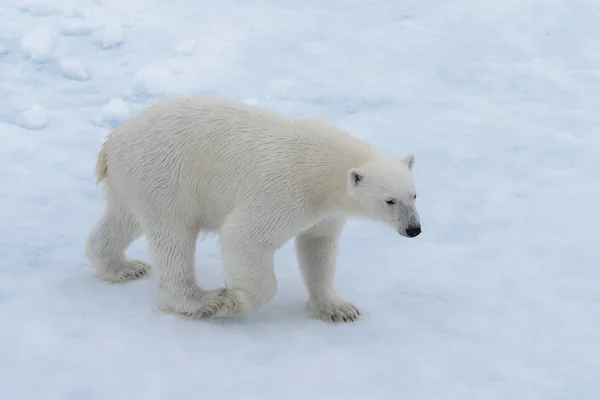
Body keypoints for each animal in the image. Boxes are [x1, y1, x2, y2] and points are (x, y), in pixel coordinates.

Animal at [85, 95, 422, 324]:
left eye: (414, 195)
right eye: (389, 201)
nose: (414, 229)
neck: (323, 169)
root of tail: (111, 143)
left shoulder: (325, 213)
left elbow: (318, 249)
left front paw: (338, 309)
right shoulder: (284, 190)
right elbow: (243, 237)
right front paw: (232, 301)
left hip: (135, 181)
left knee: (123, 219)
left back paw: (124, 267)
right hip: (165, 176)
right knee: (173, 235)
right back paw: (201, 301)